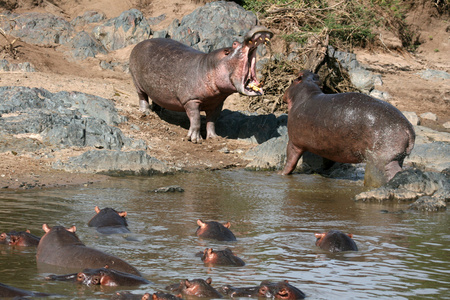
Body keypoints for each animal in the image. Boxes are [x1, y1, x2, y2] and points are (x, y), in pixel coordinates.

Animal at [128, 26, 272, 144]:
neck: (208, 66)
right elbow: (196, 119)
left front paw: (214, 138)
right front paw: (195, 140)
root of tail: (139, 44)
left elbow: (212, 121)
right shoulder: (191, 100)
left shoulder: (216, 103)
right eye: (234, 43)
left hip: (157, 89)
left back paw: (158, 109)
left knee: (155, 97)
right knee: (142, 96)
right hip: (137, 82)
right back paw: (146, 112)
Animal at [282, 70, 414, 188]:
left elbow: (290, 161)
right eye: (315, 76)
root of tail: (408, 129)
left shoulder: (294, 142)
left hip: (383, 160)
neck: (306, 92)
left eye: (293, 80)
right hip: (397, 157)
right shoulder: (326, 146)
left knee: (389, 173)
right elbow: (327, 161)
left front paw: (281, 174)